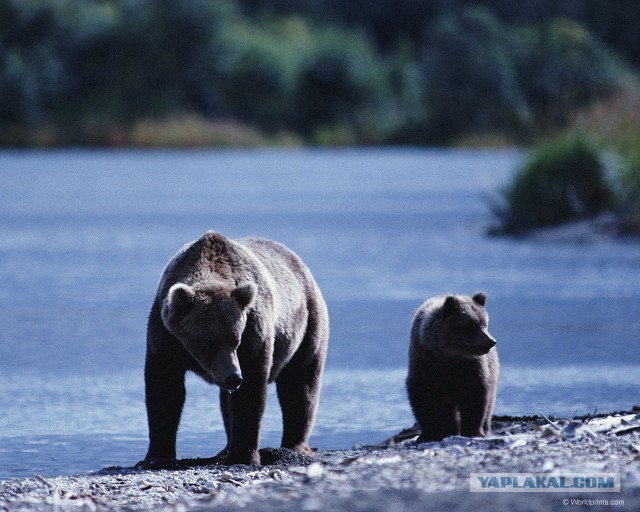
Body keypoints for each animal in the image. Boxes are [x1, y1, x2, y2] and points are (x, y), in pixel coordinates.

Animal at [142, 230, 328, 466]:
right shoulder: (165, 338)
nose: (234, 377)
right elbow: (165, 389)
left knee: (300, 383)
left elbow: (250, 392)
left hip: (308, 324)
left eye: (236, 340)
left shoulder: (253, 331)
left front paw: (245, 455)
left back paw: (295, 446)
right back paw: (224, 449)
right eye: (208, 342)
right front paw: (156, 456)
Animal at [404, 294, 500, 442]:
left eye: (484, 323)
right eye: (470, 325)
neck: (449, 355)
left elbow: (475, 395)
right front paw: (429, 433)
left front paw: (473, 430)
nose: (491, 341)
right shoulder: (425, 363)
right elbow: (423, 397)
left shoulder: (470, 367)